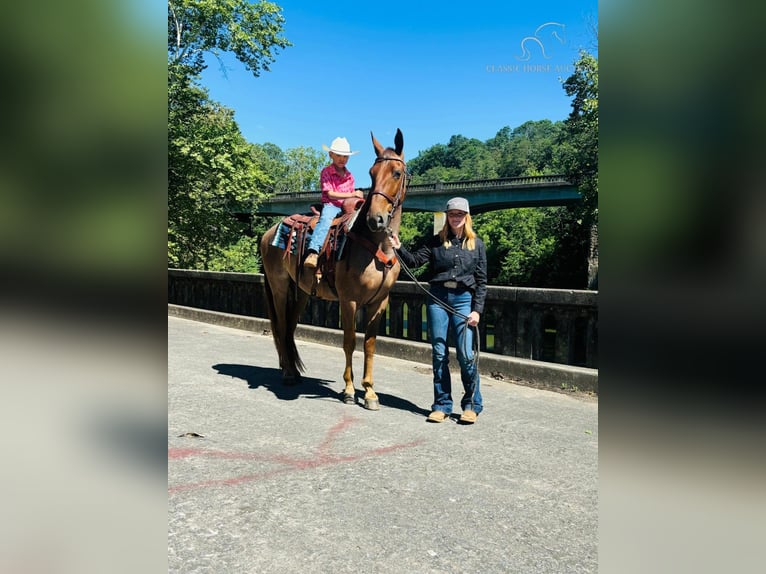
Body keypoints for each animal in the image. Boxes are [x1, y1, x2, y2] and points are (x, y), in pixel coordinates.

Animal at [260, 129, 414, 414]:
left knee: (290, 326)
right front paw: (350, 390)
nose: (375, 219)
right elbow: (350, 341)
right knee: (282, 324)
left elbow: (369, 345)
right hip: (279, 286)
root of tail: (269, 232)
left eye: (397, 173)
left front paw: (370, 392)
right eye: (372, 173)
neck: (375, 246)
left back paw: (294, 372)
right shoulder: (349, 300)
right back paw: (287, 373)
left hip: (301, 291)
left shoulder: (379, 302)